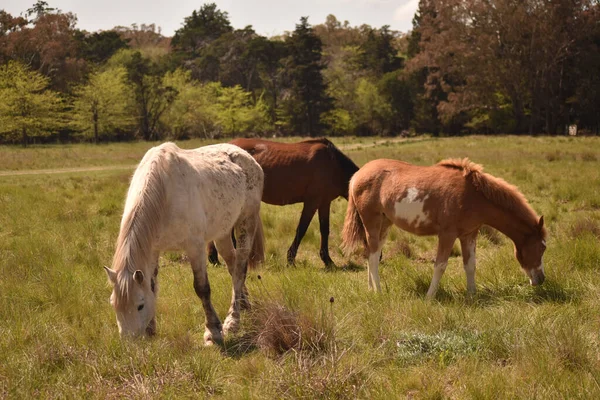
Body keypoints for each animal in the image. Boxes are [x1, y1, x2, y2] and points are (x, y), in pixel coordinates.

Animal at [104, 142, 264, 346]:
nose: (129, 343)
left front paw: (213, 332)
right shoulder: (153, 250)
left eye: (140, 305)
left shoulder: (195, 247)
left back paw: (233, 321)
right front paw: (151, 329)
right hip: (222, 233)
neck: (165, 194)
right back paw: (244, 304)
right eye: (113, 304)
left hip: (246, 222)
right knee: (233, 265)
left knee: (240, 268)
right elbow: (152, 285)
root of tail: (246, 156)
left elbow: (202, 289)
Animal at [209, 137, 358, 266]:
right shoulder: (312, 202)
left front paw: (328, 260)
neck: (333, 165)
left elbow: (324, 229)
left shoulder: (324, 203)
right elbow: (301, 229)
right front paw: (291, 260)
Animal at [340, 158, 548, 298]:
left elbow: (470, 265)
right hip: (372, 223)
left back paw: (371, 289)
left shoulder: (469, 234)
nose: (541, 279)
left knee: (370, 254)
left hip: (384, 224)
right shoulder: (447, 235)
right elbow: (440, 266)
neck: (474, 195)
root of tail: (358, 175)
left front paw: (472, 295)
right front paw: (429, 297)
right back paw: (379, 291)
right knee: (374, 257)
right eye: (542, 247)